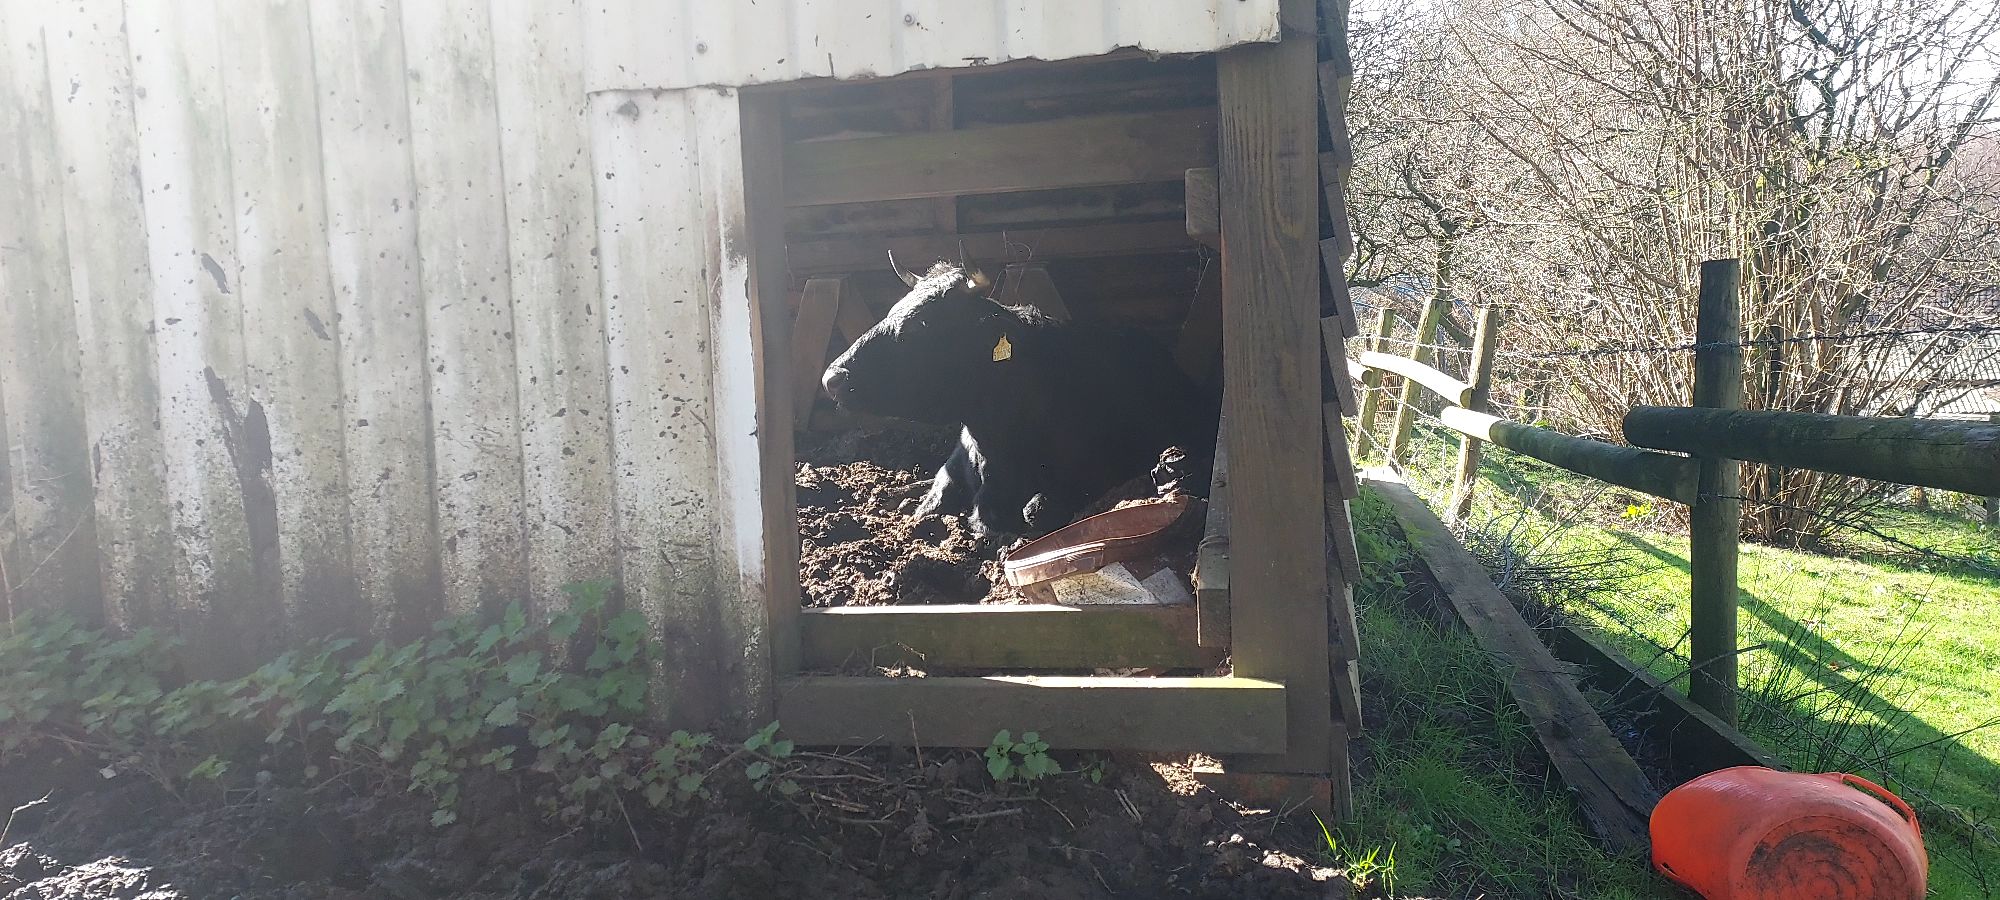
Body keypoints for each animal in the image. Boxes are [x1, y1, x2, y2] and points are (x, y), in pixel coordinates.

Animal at [820, 260, 1218, 543]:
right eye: (892, 309)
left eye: (922, 326)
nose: (832, 378)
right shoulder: (953, 472)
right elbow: (929, 506)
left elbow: (1024, 513)